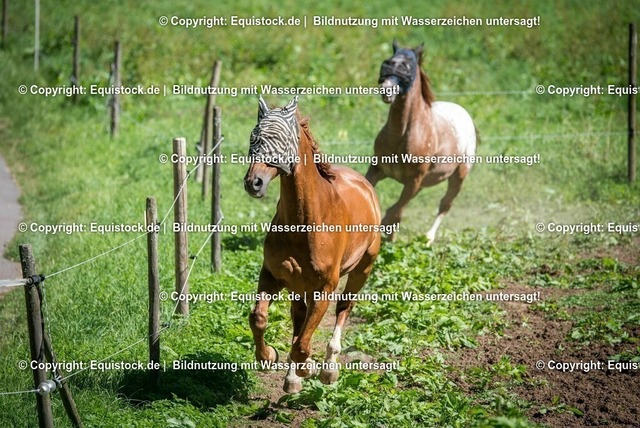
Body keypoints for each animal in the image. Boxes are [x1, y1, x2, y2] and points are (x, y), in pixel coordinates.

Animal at [243, 95, 381, 393]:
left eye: (281, 139)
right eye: (254, 137)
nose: (253, 183)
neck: (305, 223)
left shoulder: (324, 288)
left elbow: (302, 345)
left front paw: (309, 367)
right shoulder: (272, 275)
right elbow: (259, 319)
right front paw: (268, 357)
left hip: (362, 269)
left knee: (344, 307)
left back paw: (329, 369)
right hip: (298, 285)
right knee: (299, 316)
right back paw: (293, 378)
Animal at [366, 40, 478, 243]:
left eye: (406, 65)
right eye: (387, 62)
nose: (386, 89)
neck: (402, 136)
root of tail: (463, 112)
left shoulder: (414, 180)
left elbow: (397, 212)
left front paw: (389, 237)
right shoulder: (377, 169)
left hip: (458, 177)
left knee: (445, 205)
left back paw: (428, 238)